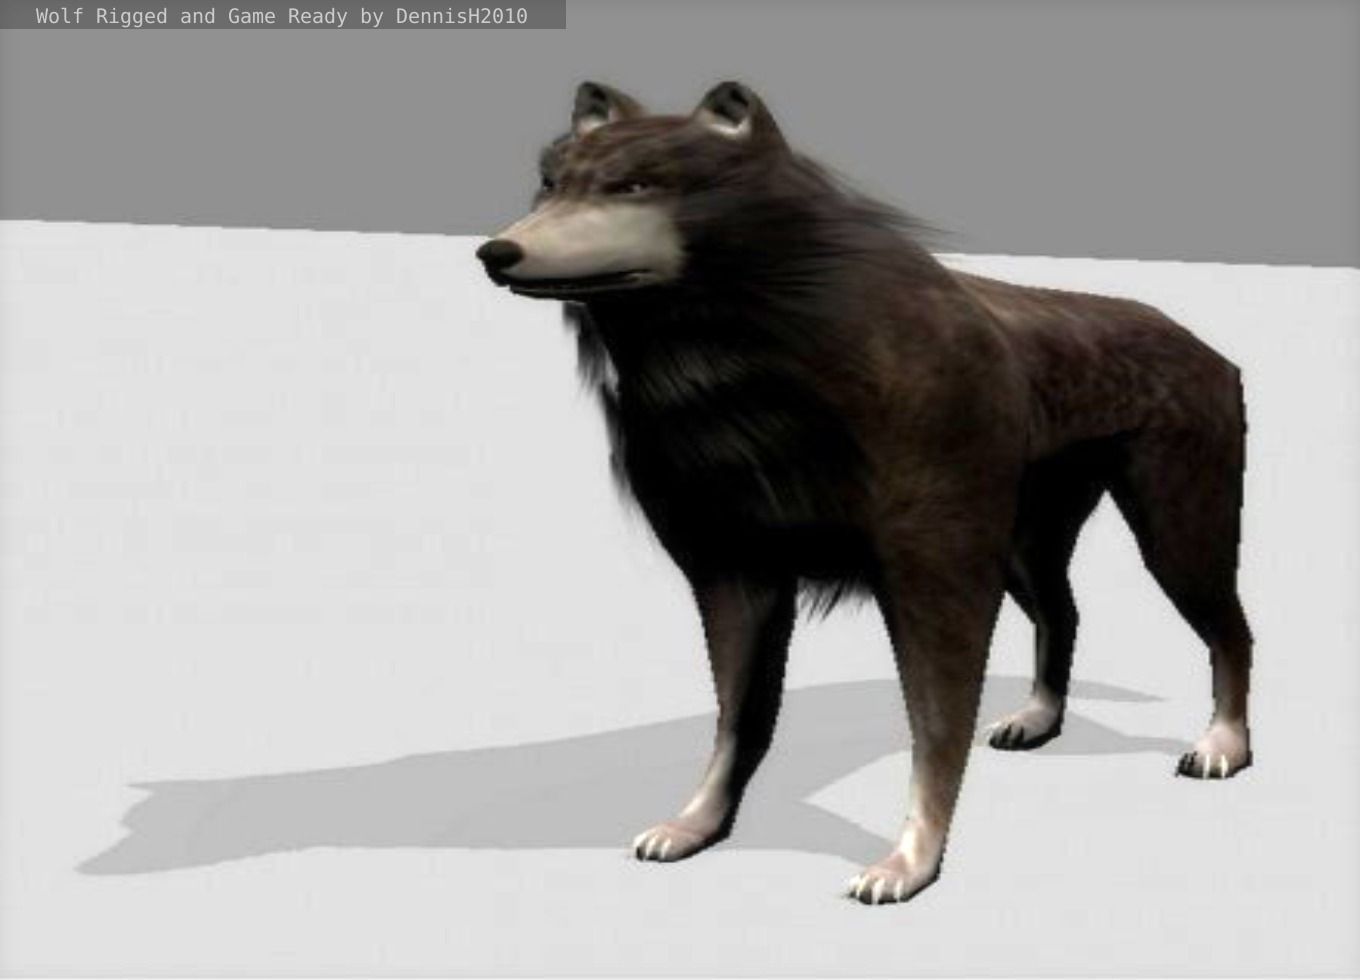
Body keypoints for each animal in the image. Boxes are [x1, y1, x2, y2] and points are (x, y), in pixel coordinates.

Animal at [476, 81, 1253, 905]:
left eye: (635, 186)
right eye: (550, 184)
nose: (494, 252)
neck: (757, 364)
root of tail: (1205, 345)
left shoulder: (931, 578)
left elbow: (934, 732)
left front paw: (908, 863)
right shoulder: (734, 574)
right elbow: (739, 722)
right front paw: (697, 825)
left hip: (1175, 535)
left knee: (1232, 632)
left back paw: (1224, 746)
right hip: (1024, 545)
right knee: (1065, 616)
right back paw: (1038, 720)